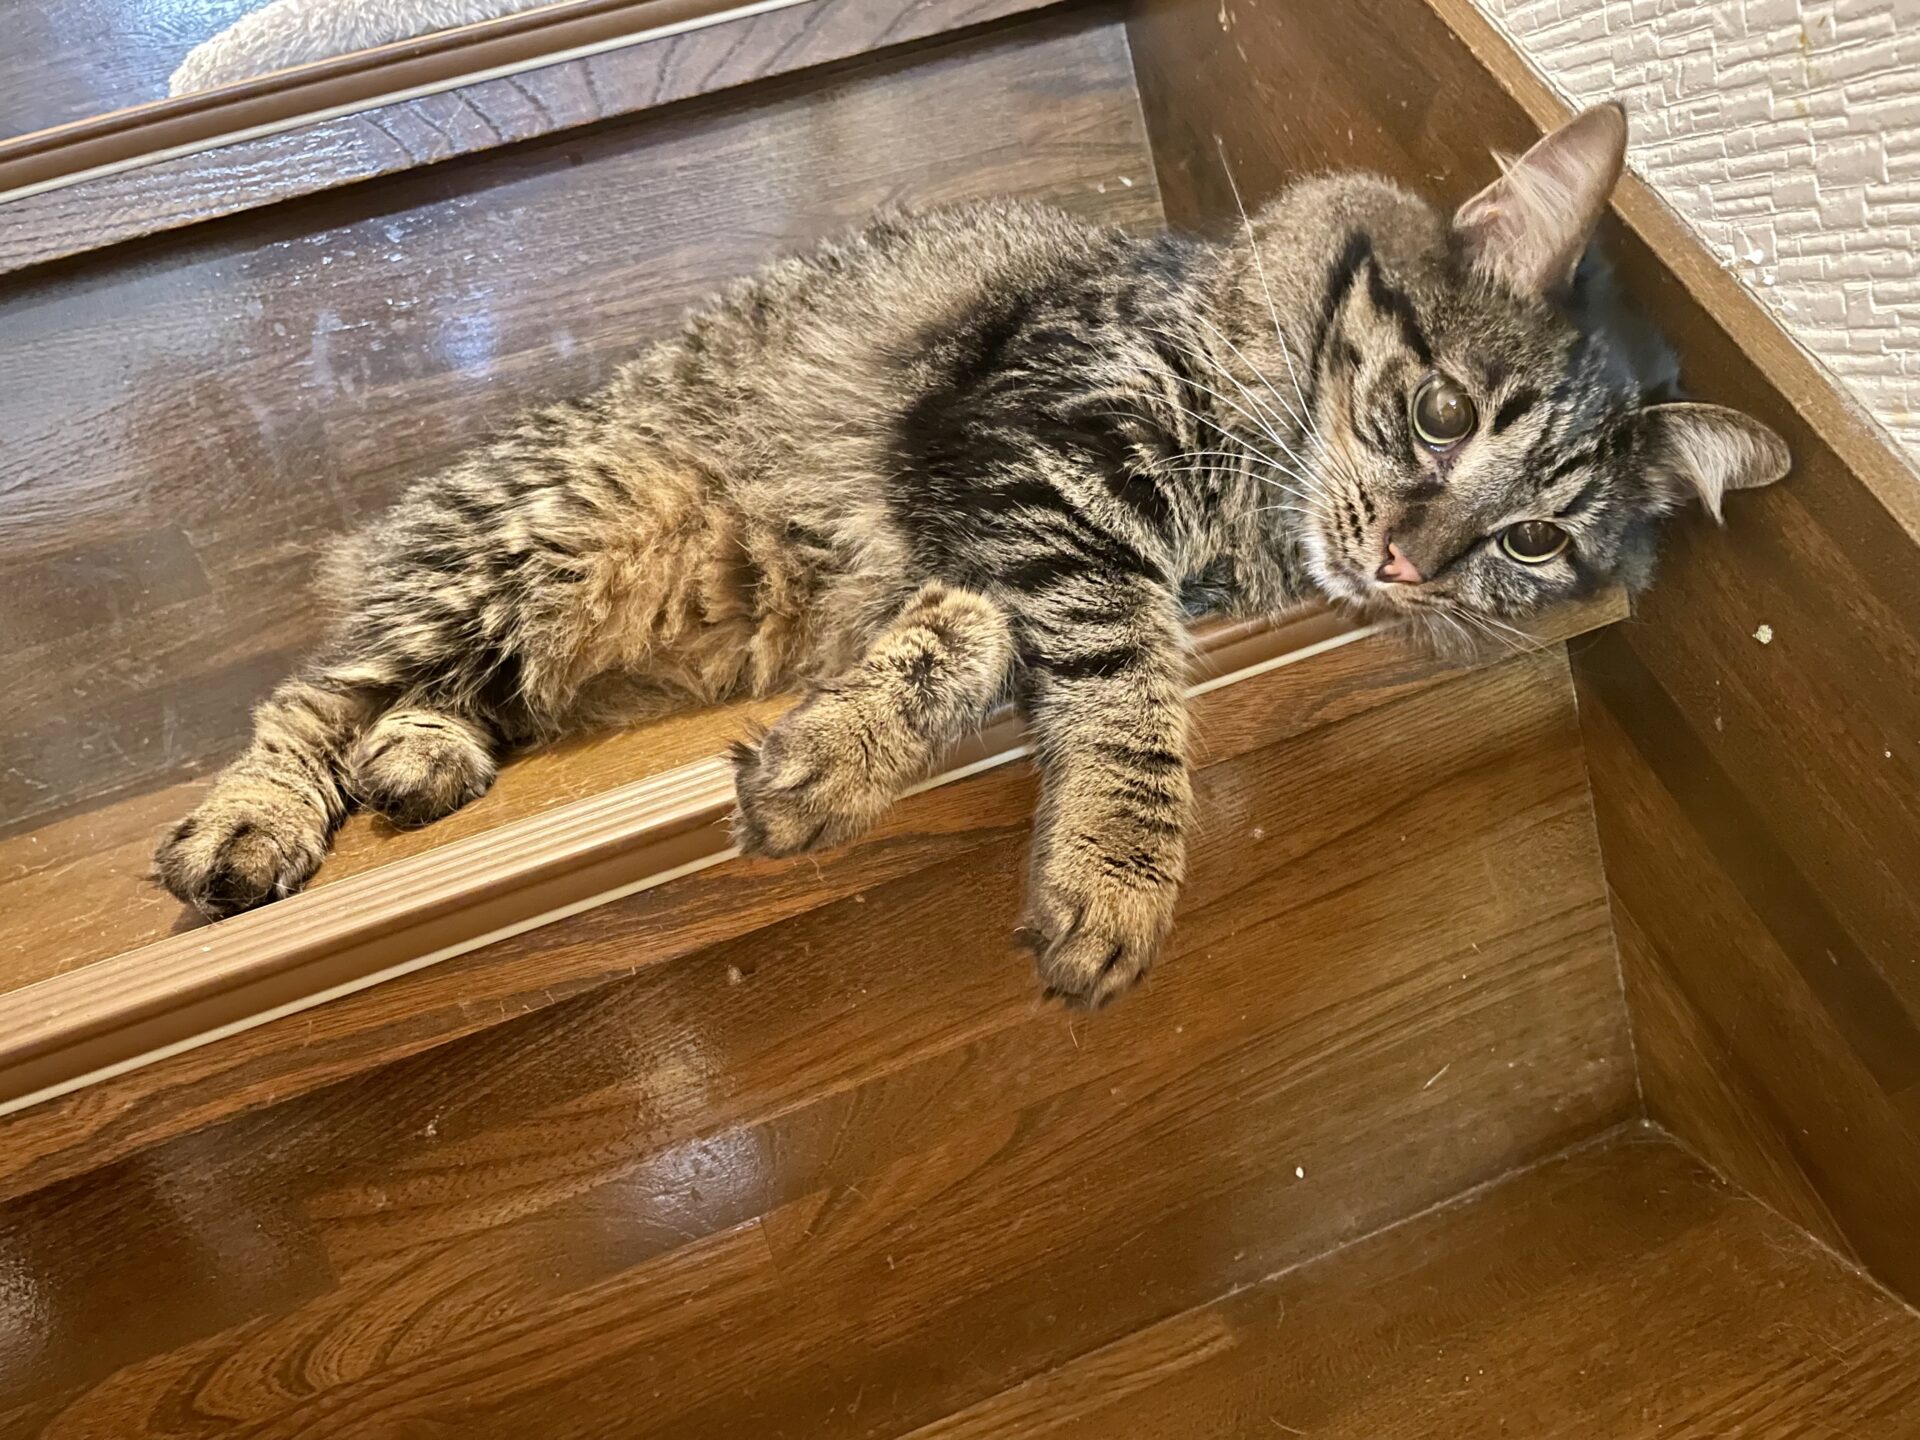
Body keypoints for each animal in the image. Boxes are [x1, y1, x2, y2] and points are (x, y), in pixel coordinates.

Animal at [154, 103, 1788, 1006]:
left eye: (1534, 539)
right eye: (1444, 412)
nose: (1408, 565)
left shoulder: (1010, 538)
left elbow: (970, 647)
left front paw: (833, 758)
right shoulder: (1026, 448)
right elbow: (1131, 688)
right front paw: (1120, 874)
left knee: (438, 695)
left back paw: (424, 755)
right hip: (558, 527)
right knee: (314, 694)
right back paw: (254, 825)